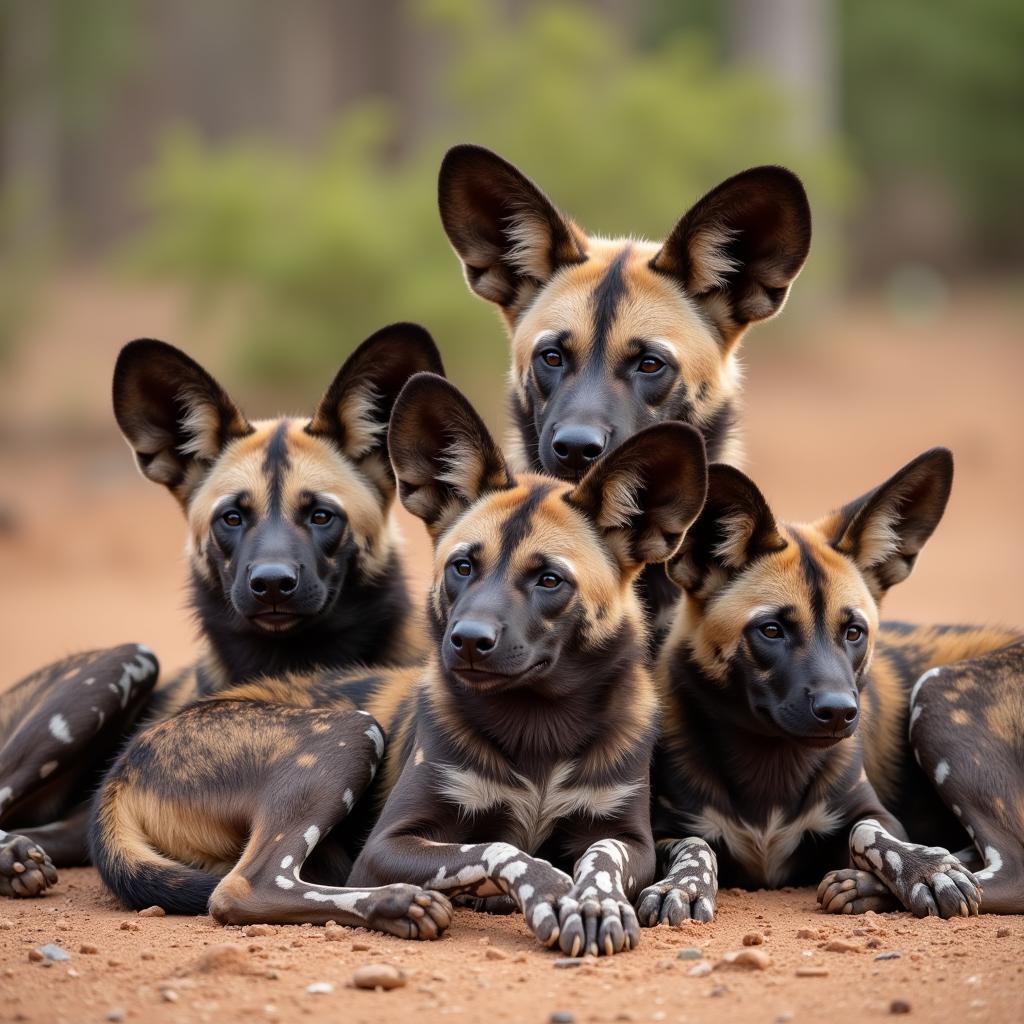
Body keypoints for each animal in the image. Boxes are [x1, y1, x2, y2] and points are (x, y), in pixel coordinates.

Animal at [346, 372, 712, 954]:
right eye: (463, 566)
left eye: (549, 580)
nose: (468, 640)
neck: (539, 724)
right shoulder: (385, 845)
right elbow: (500, 849)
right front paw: (554, 894)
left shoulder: (628, 836)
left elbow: (602, 856)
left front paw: (598, 900)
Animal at [634, 452, 1019, 925]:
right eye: (772, 630)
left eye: (854, 632)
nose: (839, 711)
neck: (771, 765)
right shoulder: (661, 832)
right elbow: (697, 844)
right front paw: (683, 886)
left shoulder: (877, 815)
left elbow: (869, 834)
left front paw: (926, 868)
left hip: (936, 700)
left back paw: (873, 884)